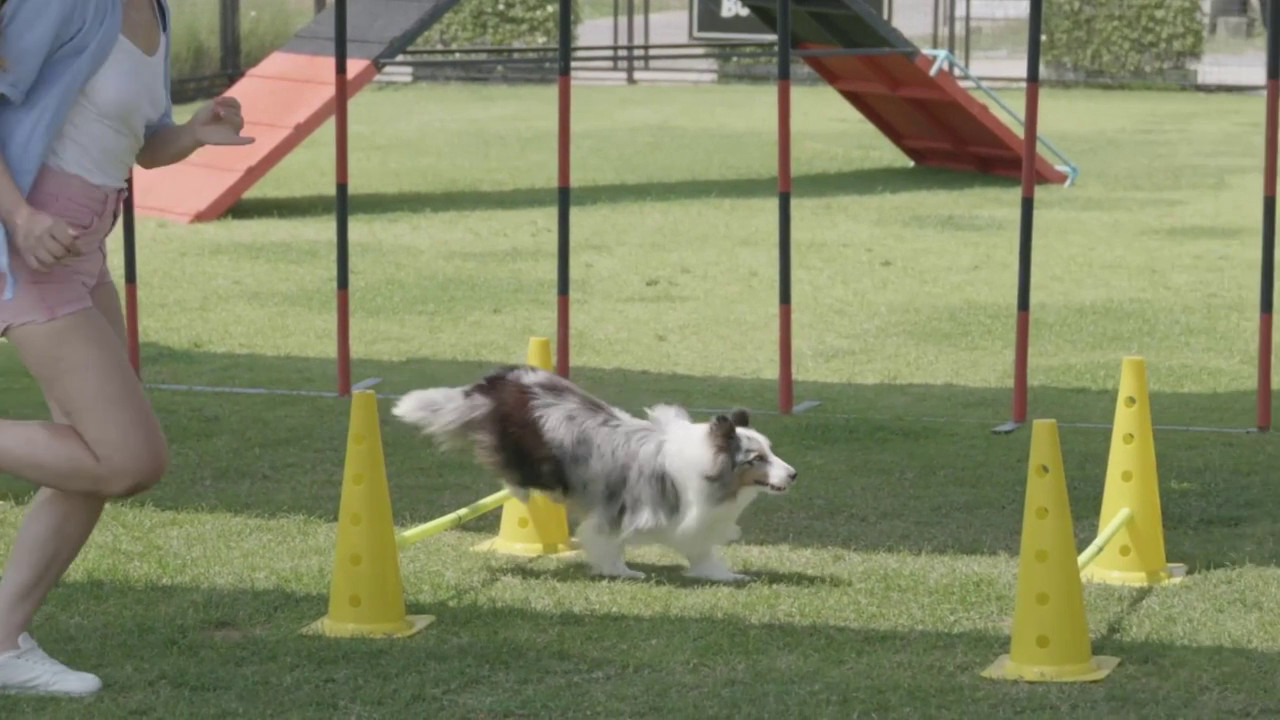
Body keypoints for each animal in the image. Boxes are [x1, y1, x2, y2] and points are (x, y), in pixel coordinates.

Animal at [389, 366, 793, 579]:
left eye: (772, 451)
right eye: (756, 458)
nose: (793, 474)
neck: (706, 464)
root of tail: (500, 380)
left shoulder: (693, 523)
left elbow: (702, 553)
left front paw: (724, 575)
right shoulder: (618, 511)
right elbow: (609, 542)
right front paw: (620, 571)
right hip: (531, 455)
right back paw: (519, 490)